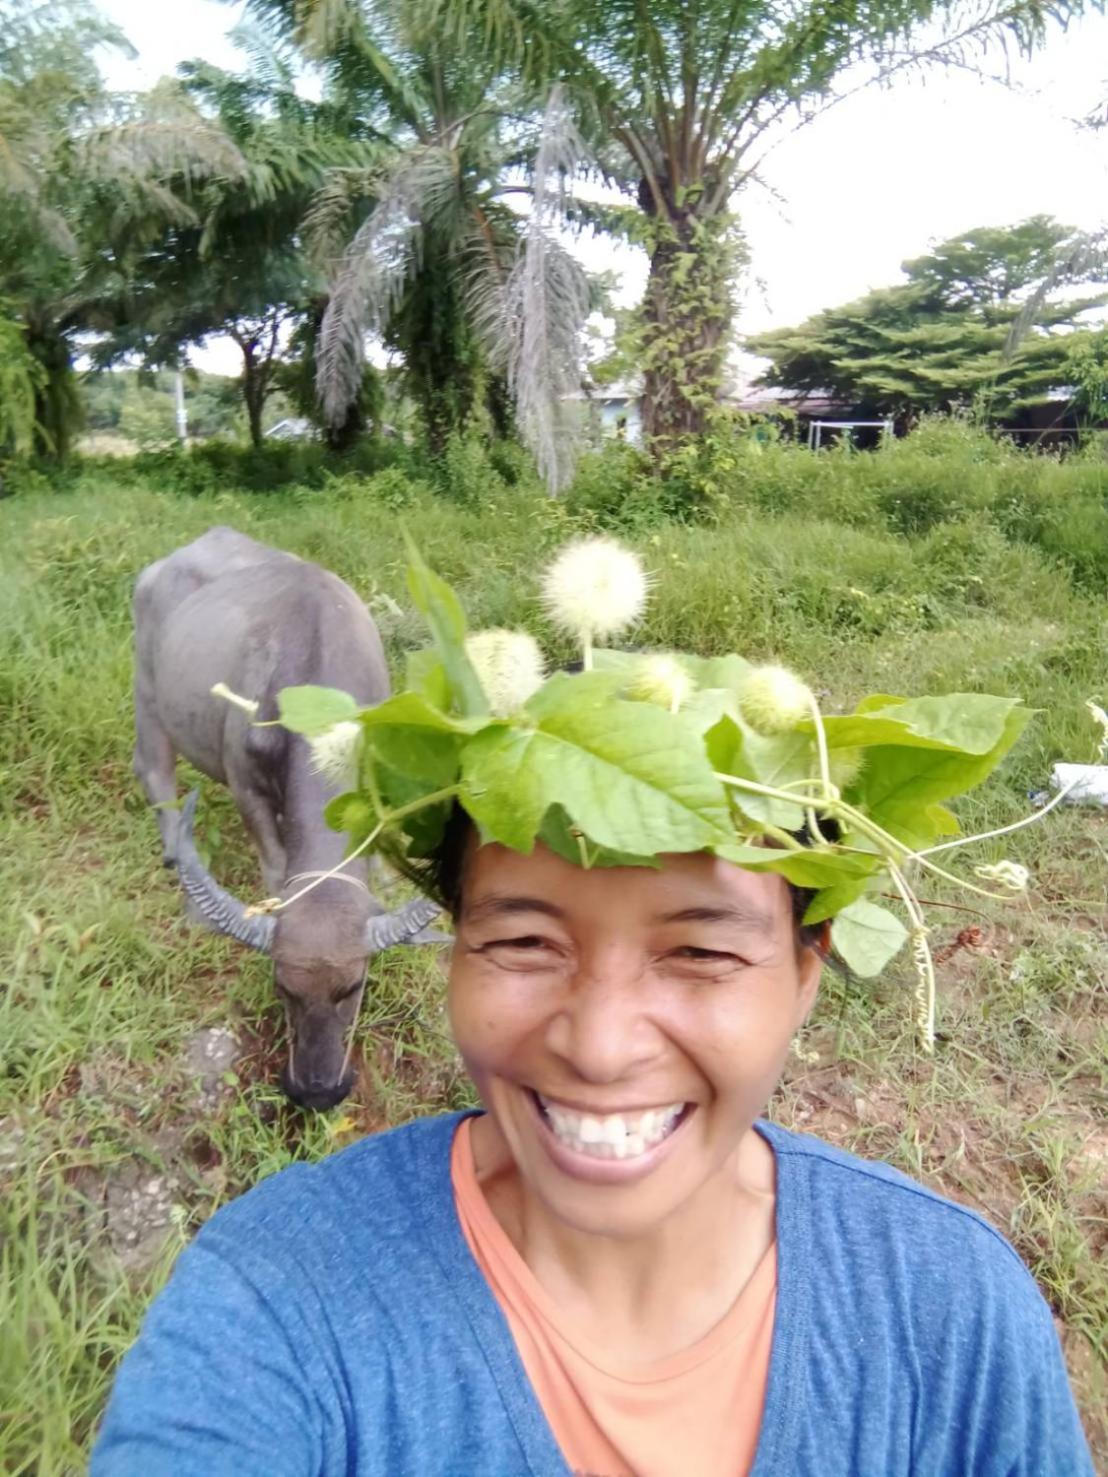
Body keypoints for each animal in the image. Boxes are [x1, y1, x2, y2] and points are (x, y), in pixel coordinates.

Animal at [138, 531, 446, 1110]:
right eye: (282, 986)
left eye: (354, 986)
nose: (318, 1091)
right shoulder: (247, 789)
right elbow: (274, 866)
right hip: (146, 696)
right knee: (154, 770)